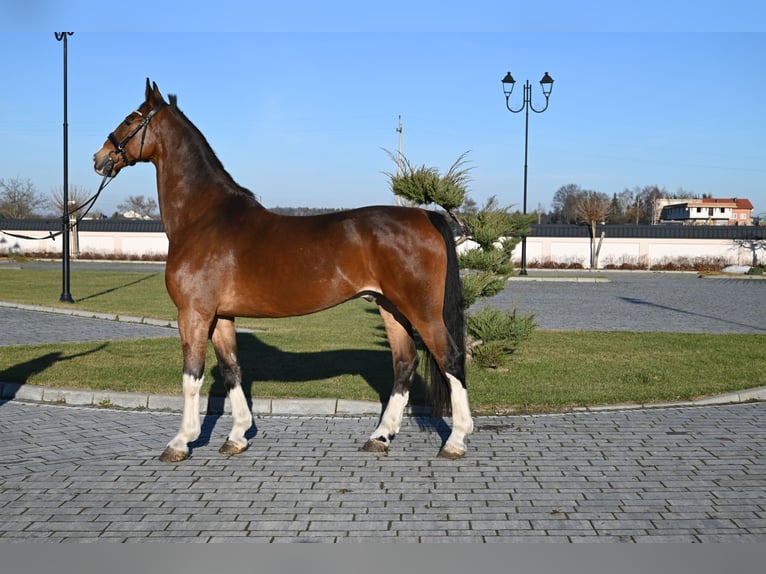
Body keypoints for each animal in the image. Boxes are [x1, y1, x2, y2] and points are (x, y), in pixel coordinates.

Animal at [93, 79, 473, 462]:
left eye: (130, 119)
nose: (99, 158)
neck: (203, 218)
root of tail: (426, 216)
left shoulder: (194, 313)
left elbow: (191, 375)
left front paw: (181, 441)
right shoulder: (221, 316)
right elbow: (232, 370)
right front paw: (237, 436)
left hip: (422, 310)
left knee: (451, 359)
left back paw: (455, 441)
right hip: (390, 306)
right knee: (405, 363)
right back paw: (380, 436)